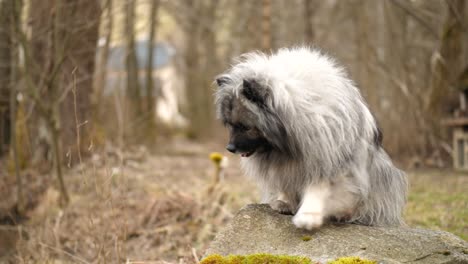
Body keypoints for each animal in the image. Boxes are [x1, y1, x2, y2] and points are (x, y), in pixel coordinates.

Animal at [214, 47, 408, 229]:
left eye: (245, 127)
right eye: (230, 125)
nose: (230, 148)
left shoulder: (326, 157)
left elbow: (318, 188)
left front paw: (308, 216)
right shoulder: (287, 165)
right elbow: (286, 184)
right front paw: (284, 202)